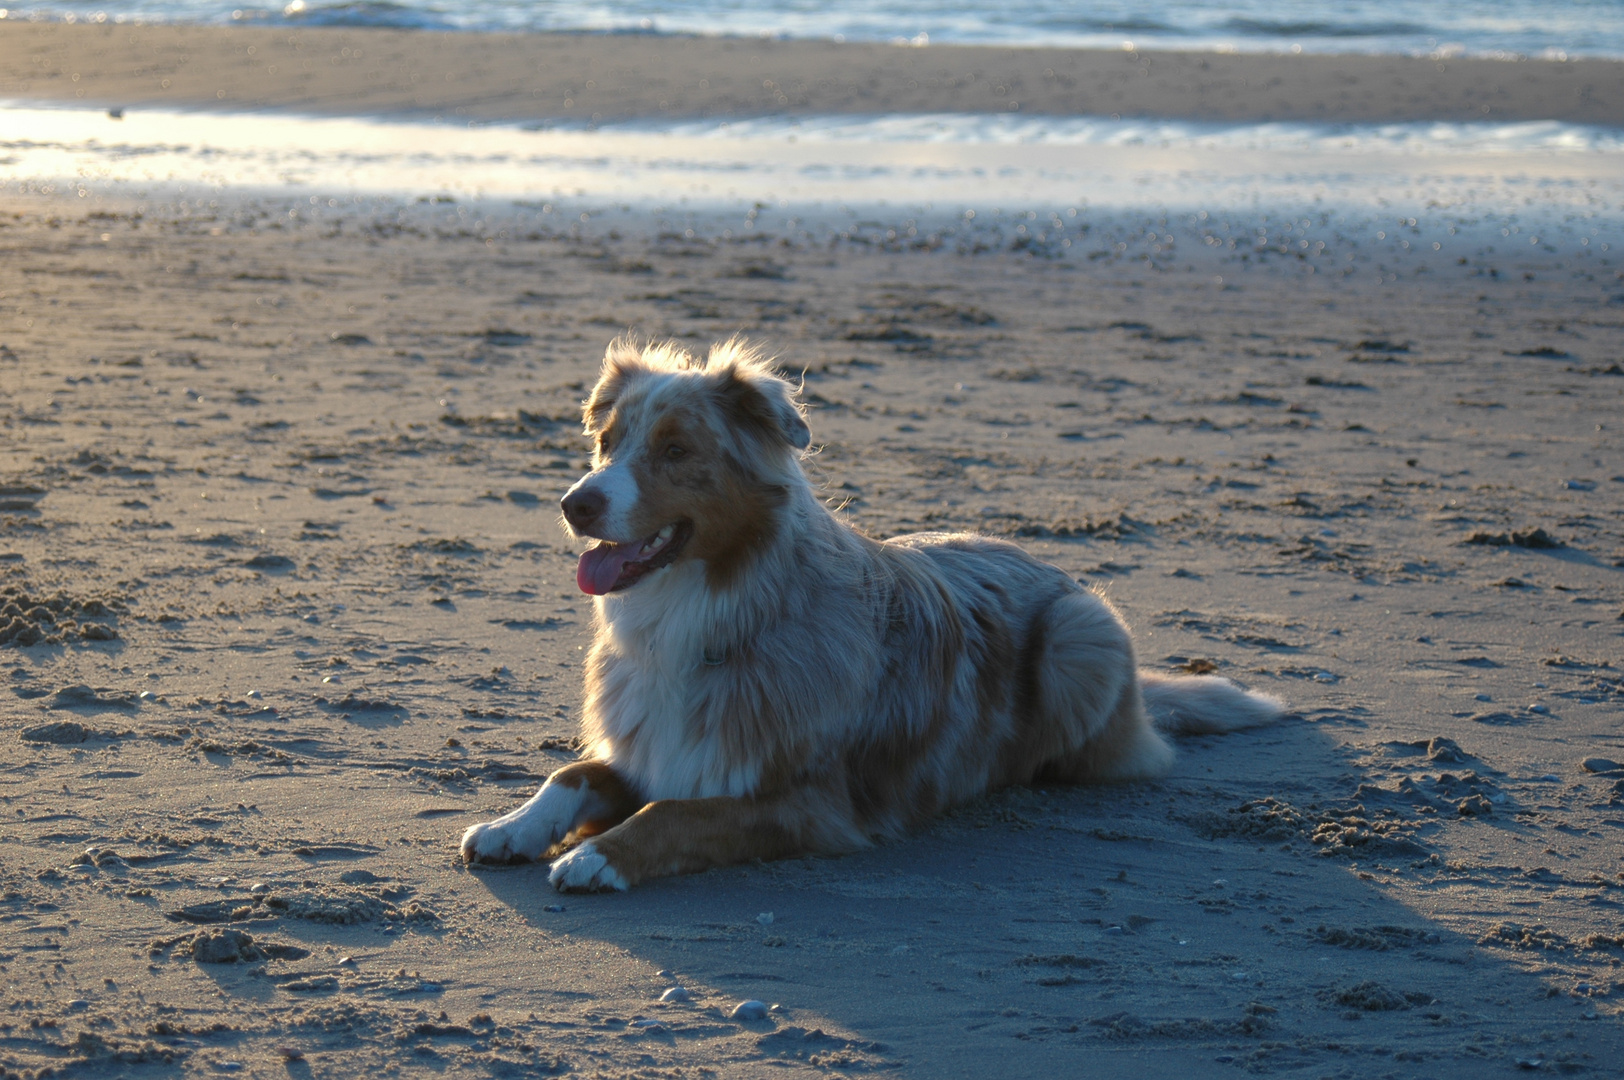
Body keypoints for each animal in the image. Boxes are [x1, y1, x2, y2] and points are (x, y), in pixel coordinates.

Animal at [457, 339, 1279, 889]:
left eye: (675, 449)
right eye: (606, 443)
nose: (576, 503)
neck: (710, 614)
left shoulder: (809, 804)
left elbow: (673, 815)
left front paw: (600, 854)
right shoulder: (657, 751)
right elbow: (572, 773)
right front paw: (510, 827)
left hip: (1081, 635)